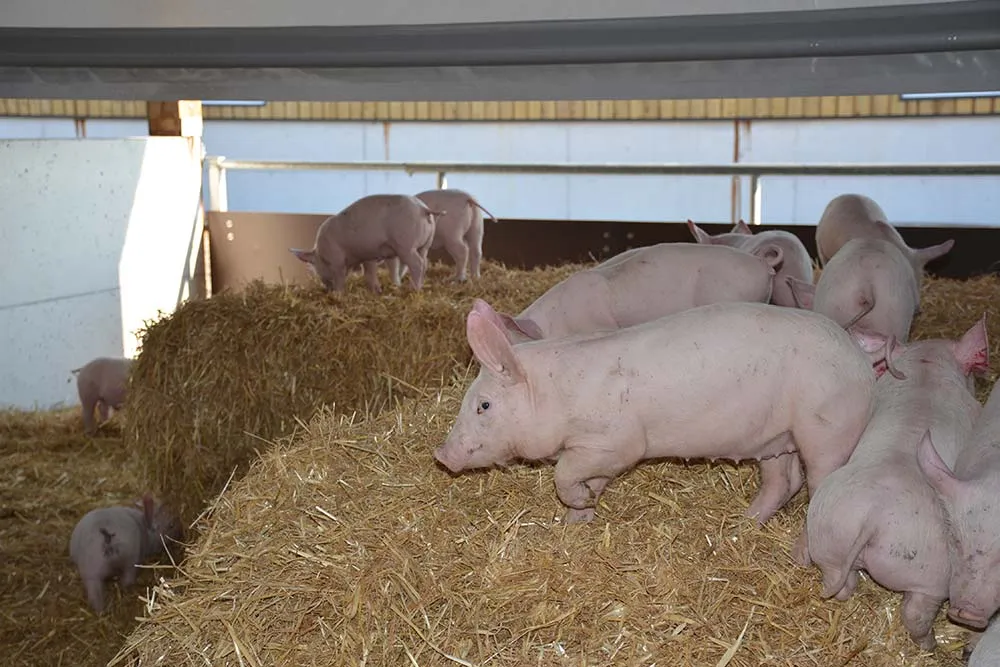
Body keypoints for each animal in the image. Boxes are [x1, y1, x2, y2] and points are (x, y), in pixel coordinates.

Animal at [289, 193, 441, 293]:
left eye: (315, 266)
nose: (326, 288)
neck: (321, 252)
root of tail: (423, 209)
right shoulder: (370, 256)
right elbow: (372, 272)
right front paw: (379, 290)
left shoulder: (336, 259)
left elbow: (340, 276)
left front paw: (338, 295)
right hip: (425, 245)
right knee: (425, 262)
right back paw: (418, 287)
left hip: (406, 245)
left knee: (417, 264)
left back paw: (413, 289)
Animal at [435, 298, 876, 526]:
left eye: (484, 405)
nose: (441, 454)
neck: (556, 394)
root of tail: (860, 364)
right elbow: (591, 481)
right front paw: (578, 518)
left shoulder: (617, 442)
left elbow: (564, 475)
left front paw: (577, 503)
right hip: (775, 438)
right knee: (783, 481)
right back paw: (743, 525)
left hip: (827, 427)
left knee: (819, 482)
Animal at [797, 317, 988, 650]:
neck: (927, 370)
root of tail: (872, 519)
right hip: (931, 570)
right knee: (916, 612)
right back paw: (929, 646)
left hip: (830, 535)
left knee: (840, 582)